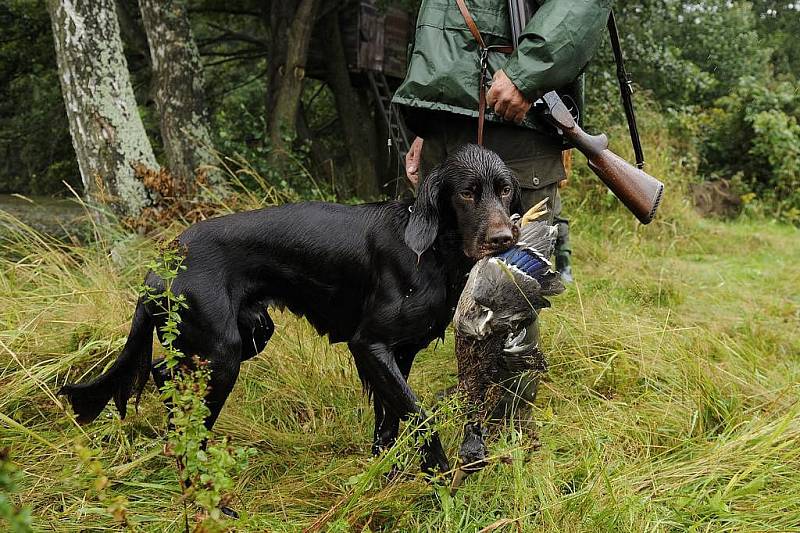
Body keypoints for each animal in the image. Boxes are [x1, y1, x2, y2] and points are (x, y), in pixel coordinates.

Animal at [59, 143, 520, 472]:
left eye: (505, 190)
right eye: (467, 193)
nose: (503, 239)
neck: (432, 251)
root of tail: (160, 265)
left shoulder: (398, 353)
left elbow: (390, 419)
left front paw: (383, 474)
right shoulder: (369, 343)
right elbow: (419, 413)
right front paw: (439, 471)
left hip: (246, 336)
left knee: (162, 371)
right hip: (223, 353)